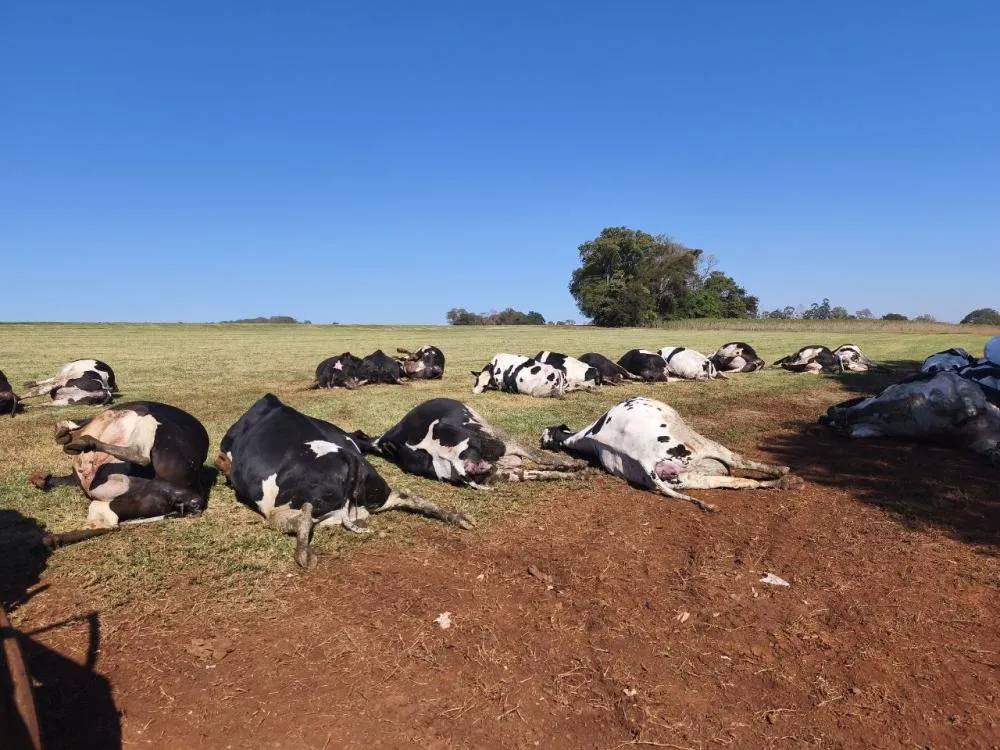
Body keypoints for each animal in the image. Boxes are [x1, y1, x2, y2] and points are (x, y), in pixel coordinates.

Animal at [28, 402, 209, 543]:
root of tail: (194, 494)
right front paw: (42, 479)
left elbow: (62, 428)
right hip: (119, 501)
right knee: (108, 525)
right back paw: (52, 539)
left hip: (153, 422)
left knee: (141, 455)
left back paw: (86, 442)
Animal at [217, 394, 474, 568]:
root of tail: (350, 458)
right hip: (378, 493)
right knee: (406, 494)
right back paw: (458, 518)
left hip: (280, 506)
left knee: (301, 518)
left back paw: (304, 555)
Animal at [541, 396, 799, 512]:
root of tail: (642, 457)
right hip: (697, 443)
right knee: (738, 463)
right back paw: (785, 474)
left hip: (685, 479)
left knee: (738, 482)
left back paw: (783, 483)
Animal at [820, 371, 1000, 466]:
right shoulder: (958, 388)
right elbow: (967, 402)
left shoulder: (983, 443)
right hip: (893, 396)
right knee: (855, 409)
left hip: (875, 426)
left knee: (855, 423)